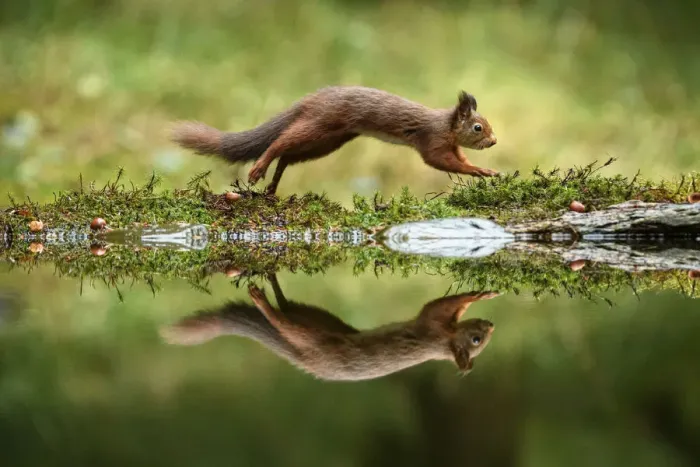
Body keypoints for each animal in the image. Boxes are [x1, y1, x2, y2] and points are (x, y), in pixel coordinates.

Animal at [160, 274, 498, 381]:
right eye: (476, 339)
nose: (491, 325)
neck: (441, 345)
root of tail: (303, 361)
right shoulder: (431, 326)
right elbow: (444, 304)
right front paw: (481, 295)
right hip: (312, 334)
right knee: (281, 319)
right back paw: (260, 300)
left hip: (314, 318)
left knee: (286, 310)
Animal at [169, 86, 499, 195]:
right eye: (478, 127)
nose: (494, 142)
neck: (445, 124)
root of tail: (309, 100)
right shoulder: (432, 141)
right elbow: (441, 162)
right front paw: (481, 171)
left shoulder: (450, 145)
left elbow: (459, 160)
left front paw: (487, 170)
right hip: (318, 127)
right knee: (280, 143)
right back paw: (259, 169)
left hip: (327, 142)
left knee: (289, 155)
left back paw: (273, 186)